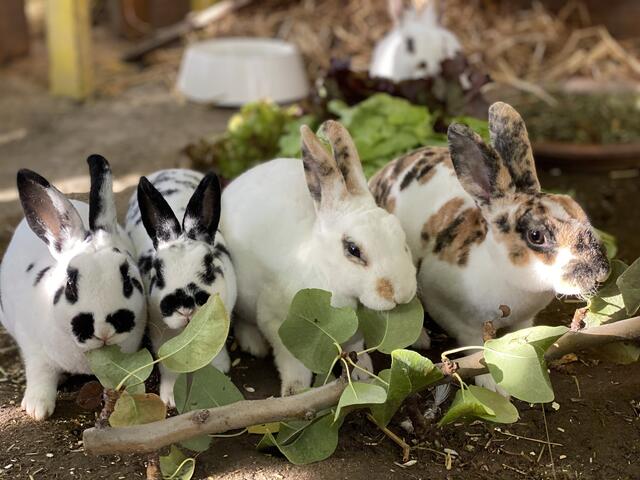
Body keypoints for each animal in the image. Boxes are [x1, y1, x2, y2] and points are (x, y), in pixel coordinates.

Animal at [0, 156, 146, 418]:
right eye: (69, 285)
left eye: (128, 279)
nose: (104, 329)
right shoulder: (33, 347)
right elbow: (40, 374)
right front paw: (37, 409)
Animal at [125, 170, 235, 408]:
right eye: (158, 272)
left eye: (209, 265)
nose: (186, 308)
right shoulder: (162, 336)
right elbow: (170, 367)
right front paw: (170, 398)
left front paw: (219, 370)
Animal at [222, 121, 418, 398]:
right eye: (353, 249)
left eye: (400, 235)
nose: (402, 293)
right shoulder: (277, 322)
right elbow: (293, 362)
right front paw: (295, 391)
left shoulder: (354, 335)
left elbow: (356, 350)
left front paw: (363, 373)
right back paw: (254, 345)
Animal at [368, 102, 608, 394]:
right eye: (536, 235)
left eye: (578, 208)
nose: (600, 272)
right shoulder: (455, 314)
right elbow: (477, 346)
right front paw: (492, 385)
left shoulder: (525, 319)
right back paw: (421, 339)